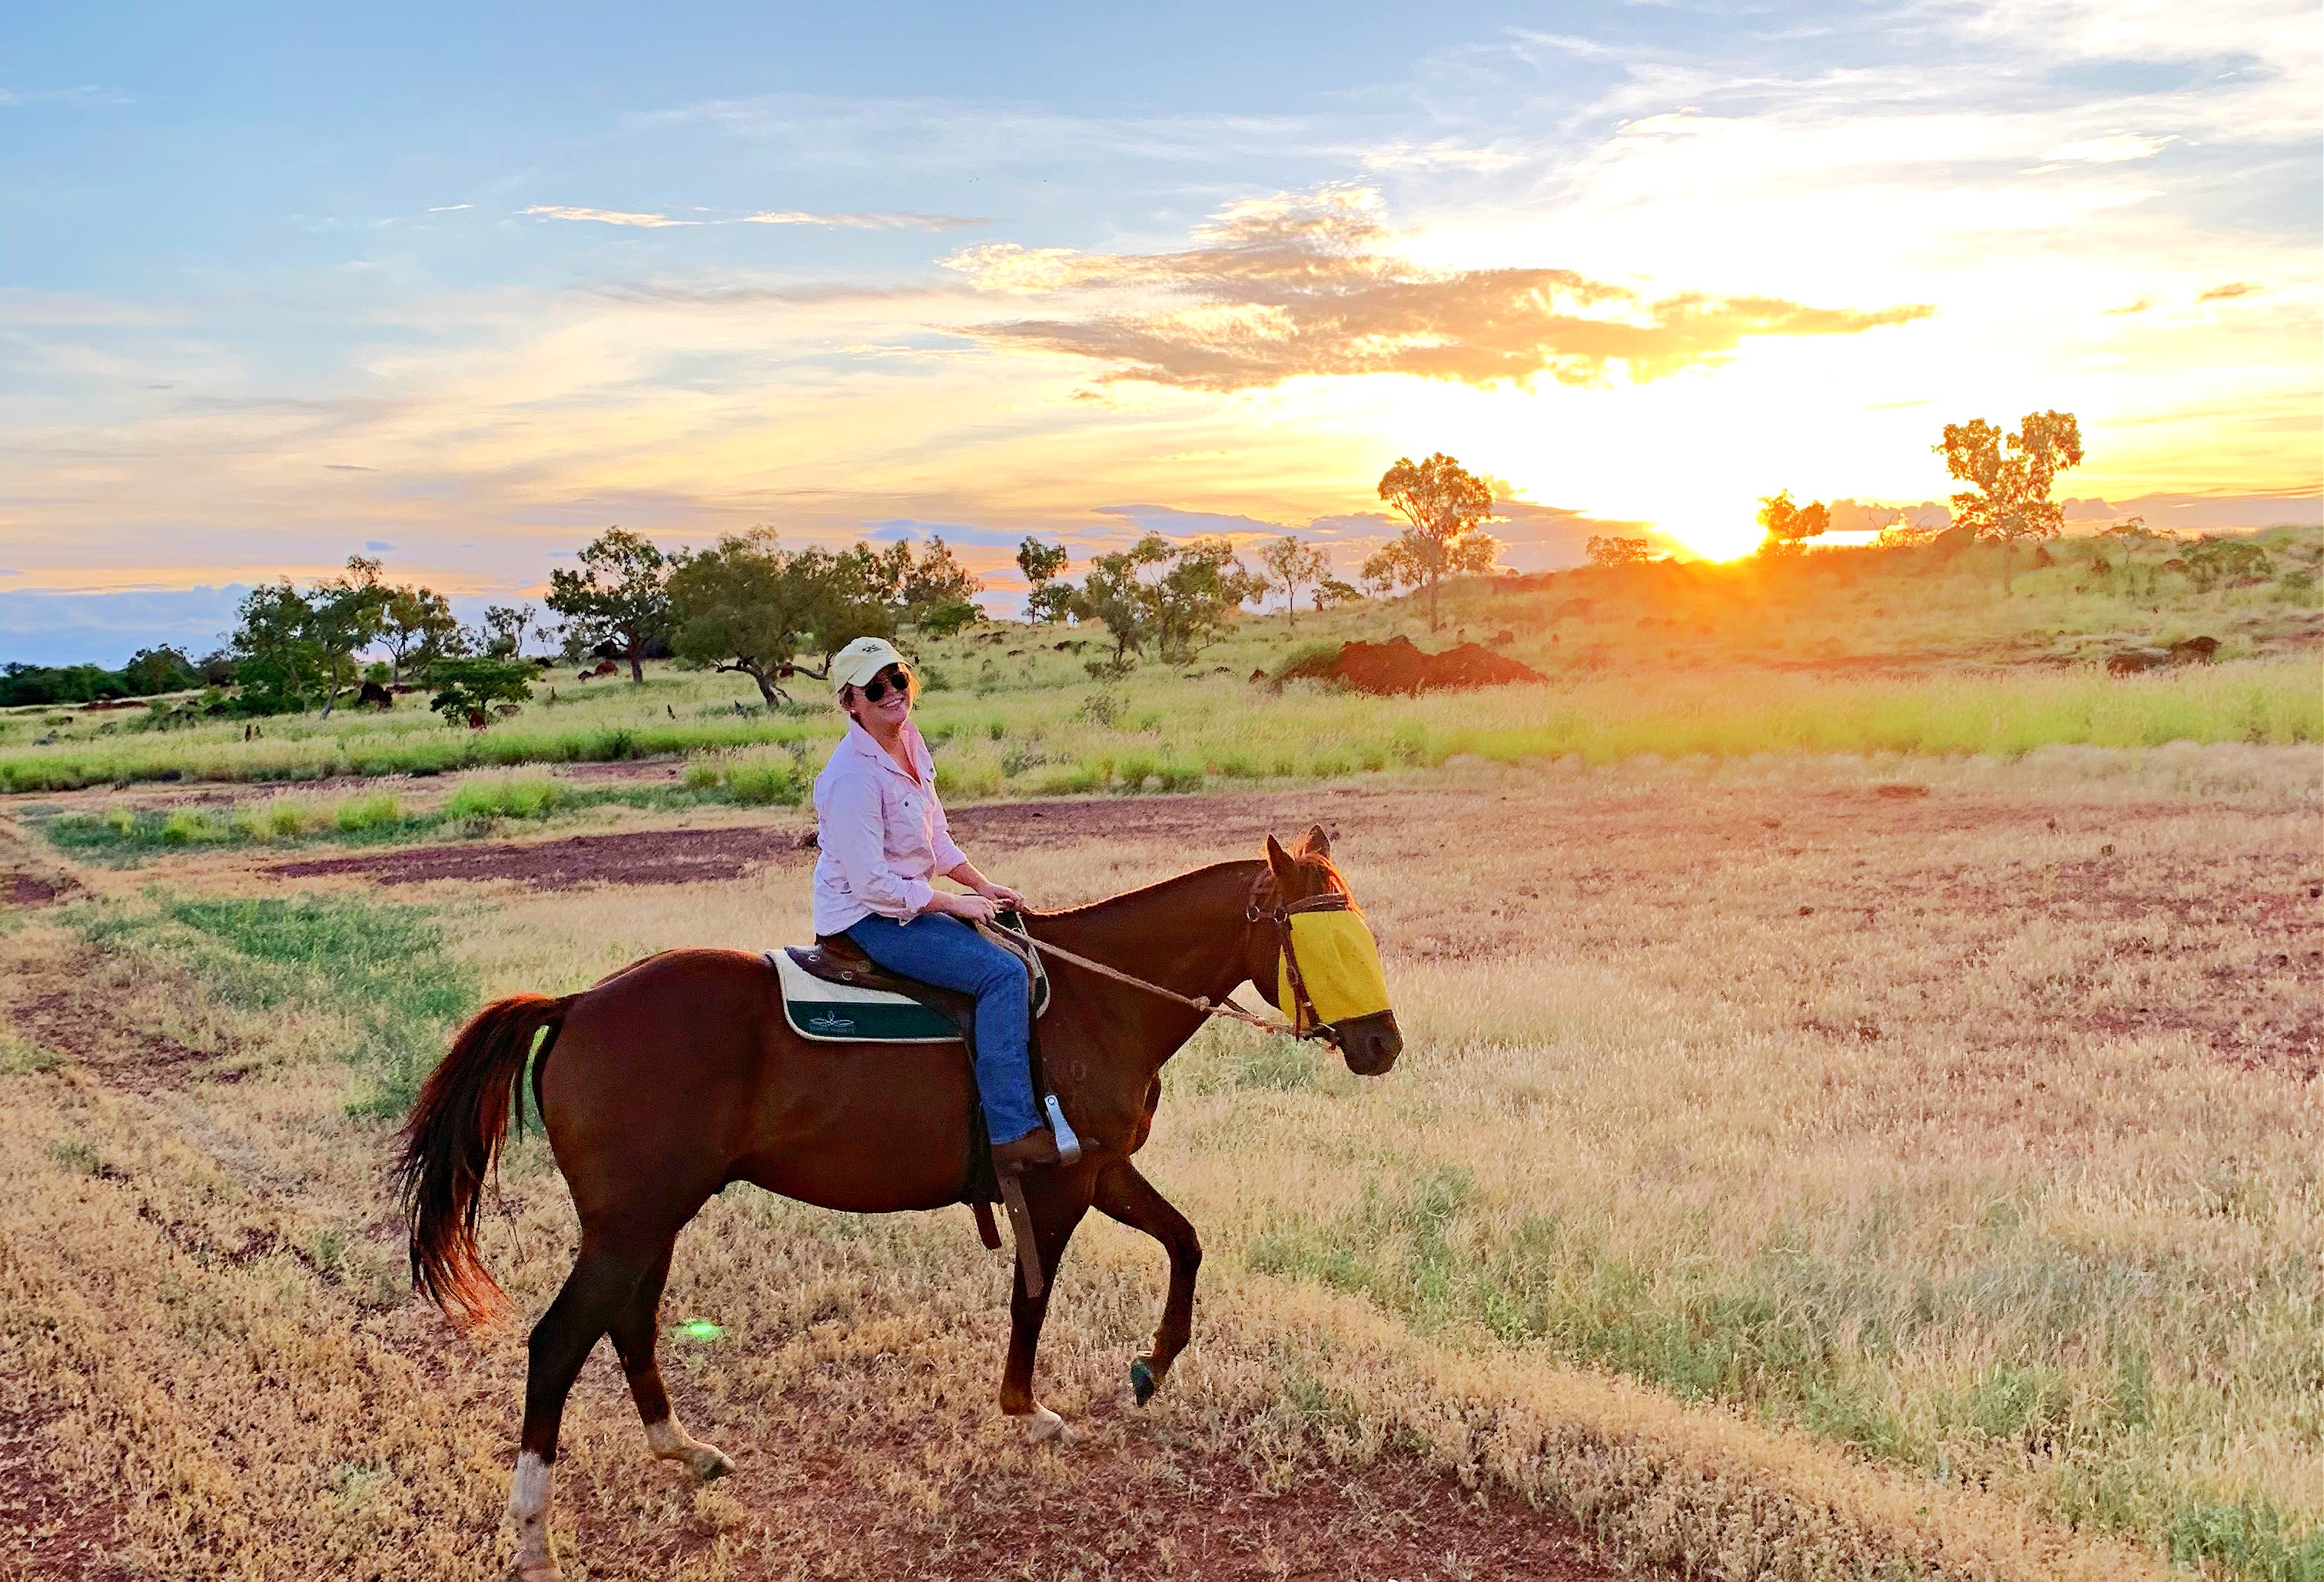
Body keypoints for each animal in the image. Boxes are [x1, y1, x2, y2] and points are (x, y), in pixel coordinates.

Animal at [395, 825, 1400, 1582]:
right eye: (1322, 942)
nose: (1384, 1045)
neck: (1096, 999)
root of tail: (579, 1003)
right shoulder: (1059, 1183)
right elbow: (1034, 1297)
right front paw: (1025, 1407)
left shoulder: (1105, 1170)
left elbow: (1185, 1242)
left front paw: (1153, 1364)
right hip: (631, 1223)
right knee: (559, 1342)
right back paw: (535, 1538)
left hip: (651, 1220)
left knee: (631, 1324)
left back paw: (684, 1450)